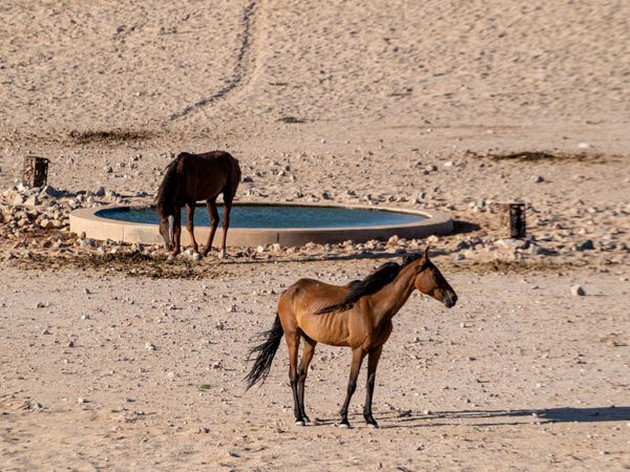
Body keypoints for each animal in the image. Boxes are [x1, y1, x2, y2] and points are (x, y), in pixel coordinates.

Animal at [247, 249, 460, 430]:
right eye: (435, 274)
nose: (453, 298)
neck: (376, 307)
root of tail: (290, 290)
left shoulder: (377, 349)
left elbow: (370, 383)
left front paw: (370, 419)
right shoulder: (358, 350)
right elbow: (352, 384)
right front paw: (344, 419)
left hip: (310, 341)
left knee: (302, 373)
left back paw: (305, 415)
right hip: (293, 337)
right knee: (292, 374)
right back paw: (299, 418)